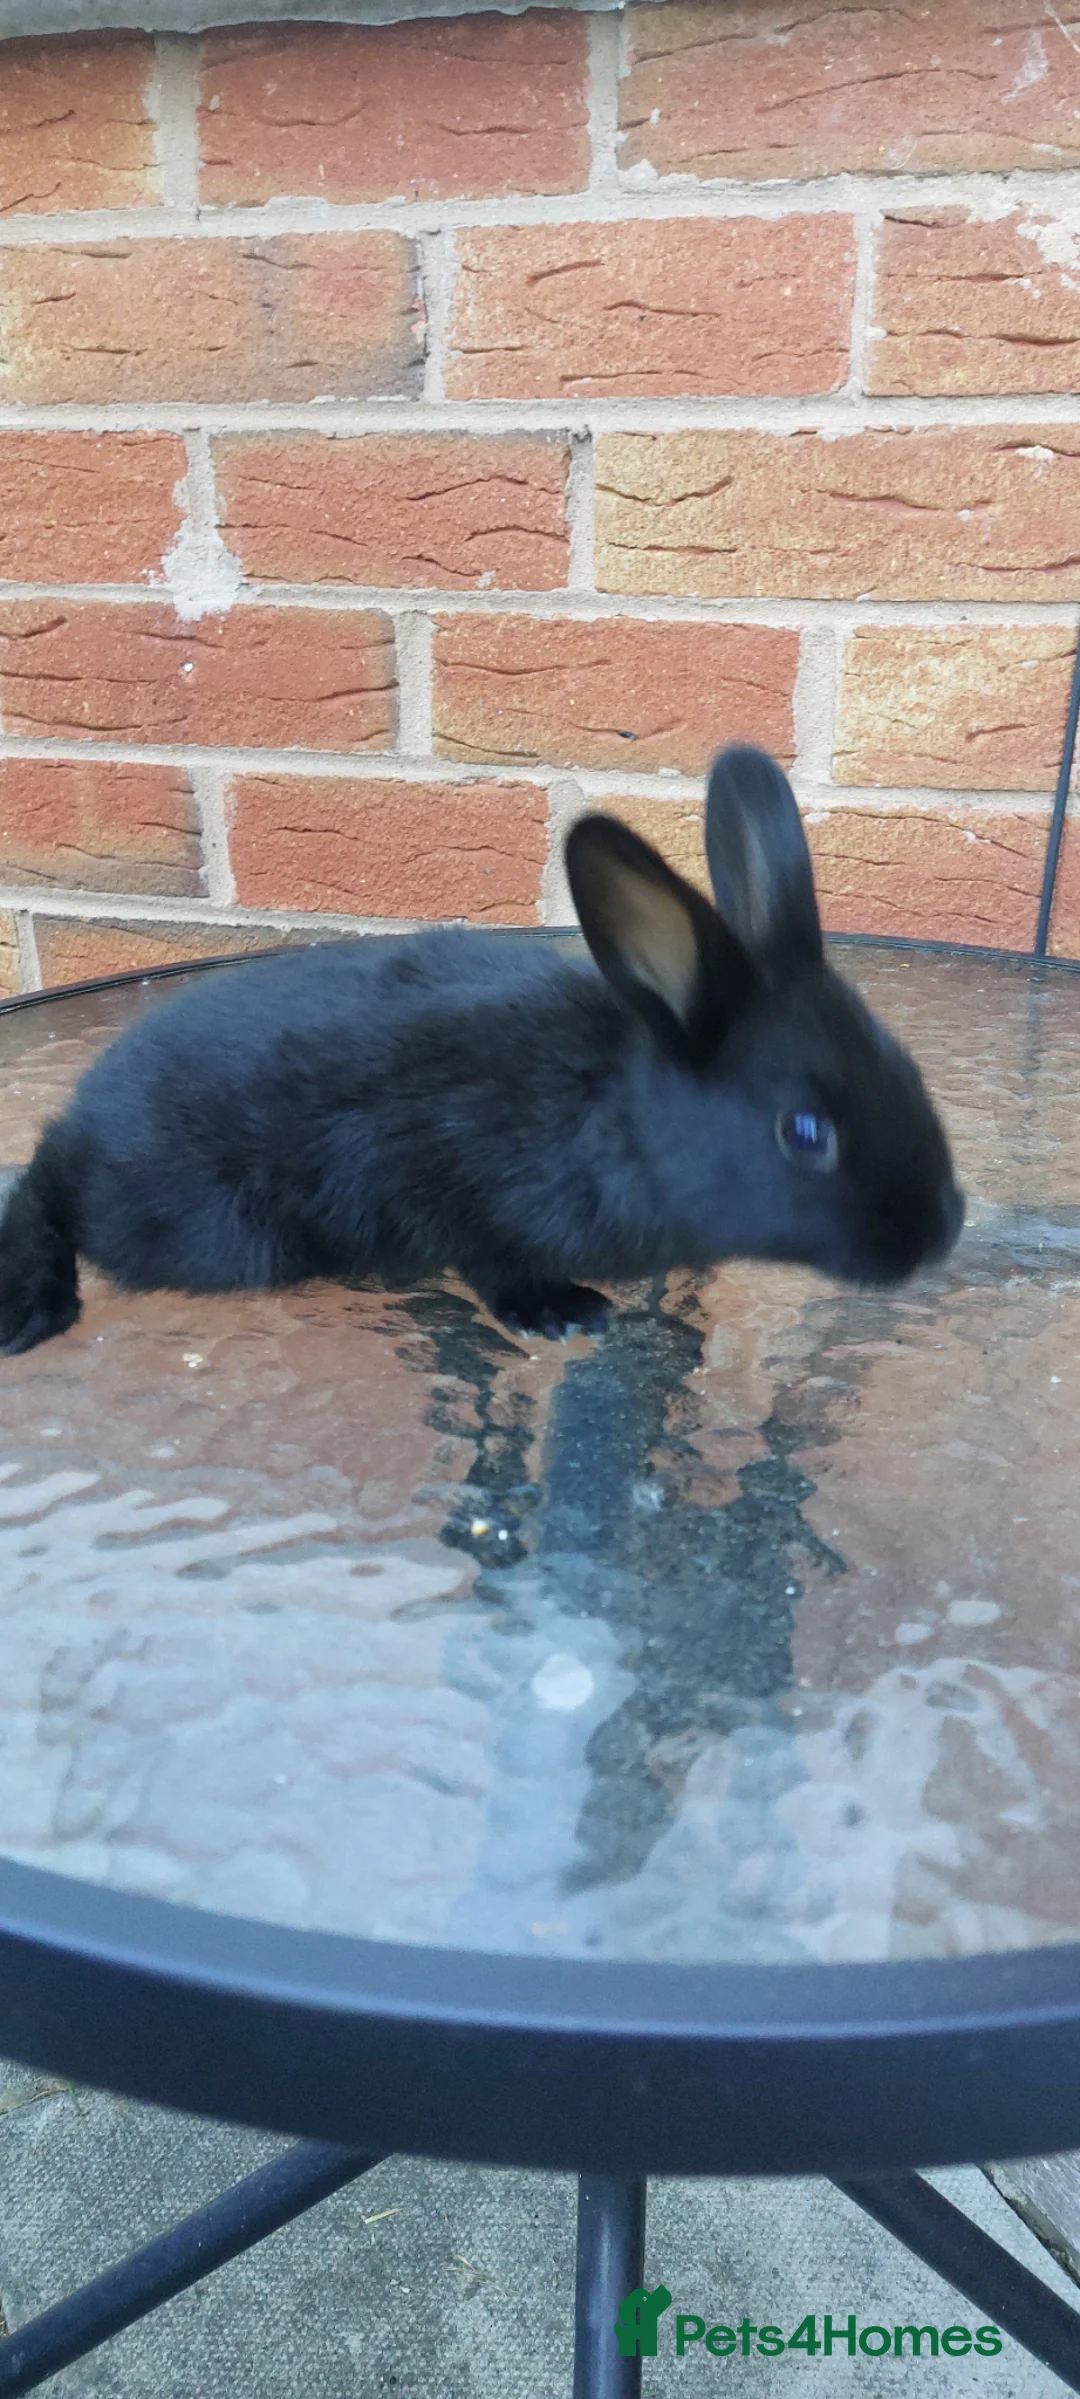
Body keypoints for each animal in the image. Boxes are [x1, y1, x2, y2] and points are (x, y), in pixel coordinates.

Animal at [0, 744, 963, 1357]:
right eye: (805, 1133)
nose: (942, 1229)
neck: (612, 1118)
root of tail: (90, 1118)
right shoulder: (462, 1187)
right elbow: (497, 1265)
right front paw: (565, 1313)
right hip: (207, 1229)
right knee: (43, 1183)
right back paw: (31, 1307)